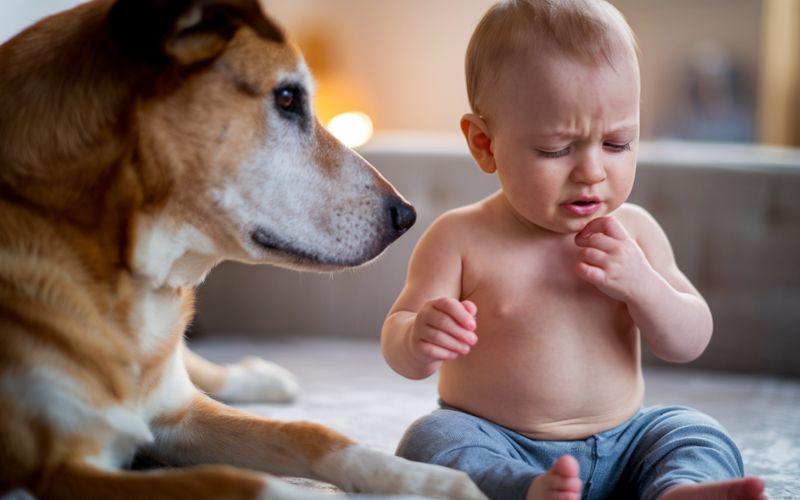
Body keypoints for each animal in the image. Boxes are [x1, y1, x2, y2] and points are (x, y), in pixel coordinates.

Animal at [0, 0, 488, 498]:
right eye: (288, 98)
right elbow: (230, 481)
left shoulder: (180, 418)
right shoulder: (60, 469)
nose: (408, 217)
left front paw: (434, 480)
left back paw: (262, 377)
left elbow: (311, 433)